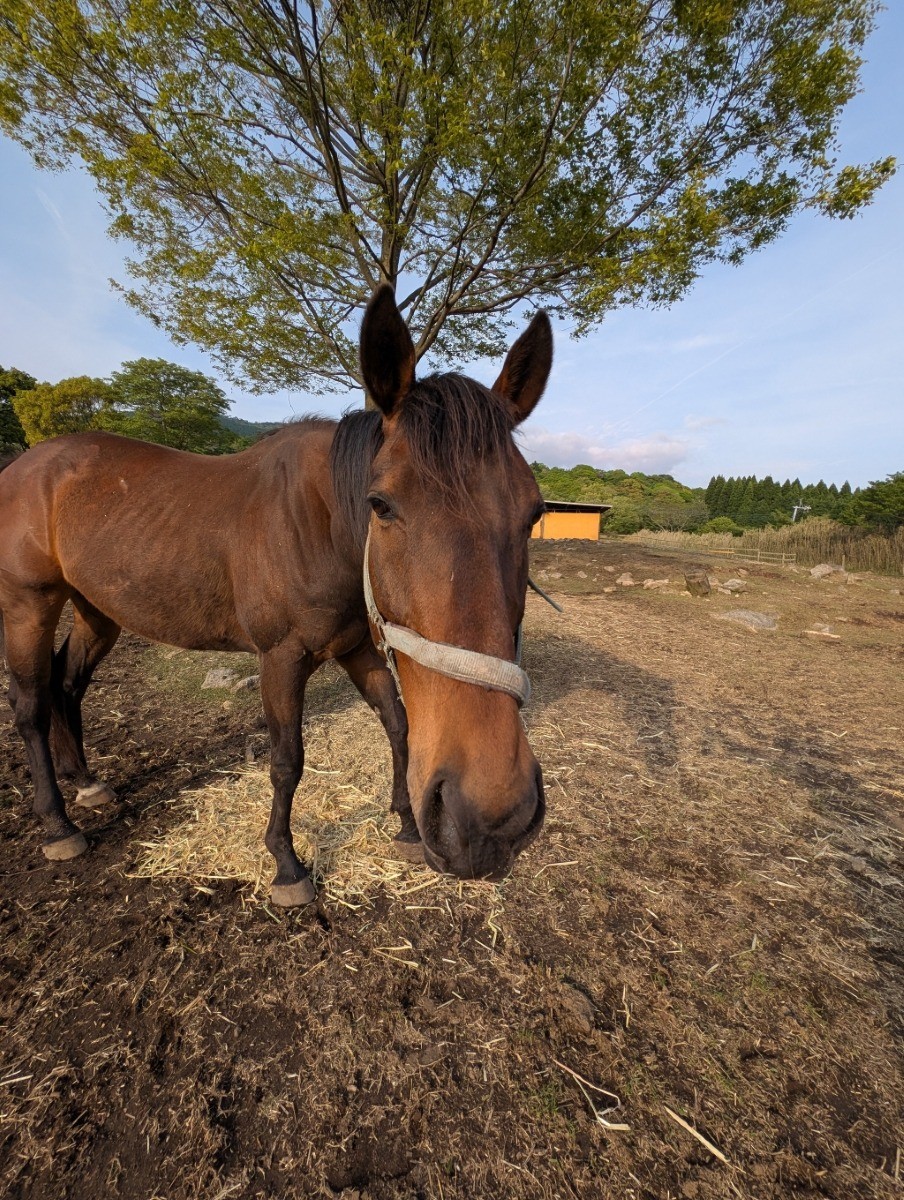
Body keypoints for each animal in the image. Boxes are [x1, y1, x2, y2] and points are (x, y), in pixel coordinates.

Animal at [0, 286, 552, 905]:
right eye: (381, 505)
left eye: (534, 512)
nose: (490, 819)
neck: (318, 525)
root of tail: (23, 465)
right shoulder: (281, 659)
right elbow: (288, 760)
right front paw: (287, 864)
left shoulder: (357, 648)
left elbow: (400, 727)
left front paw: (408, 826)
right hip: (28, 604)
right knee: (30, 705)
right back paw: (58, 825)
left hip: (97, 610)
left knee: (68, 684)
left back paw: (88, 784)